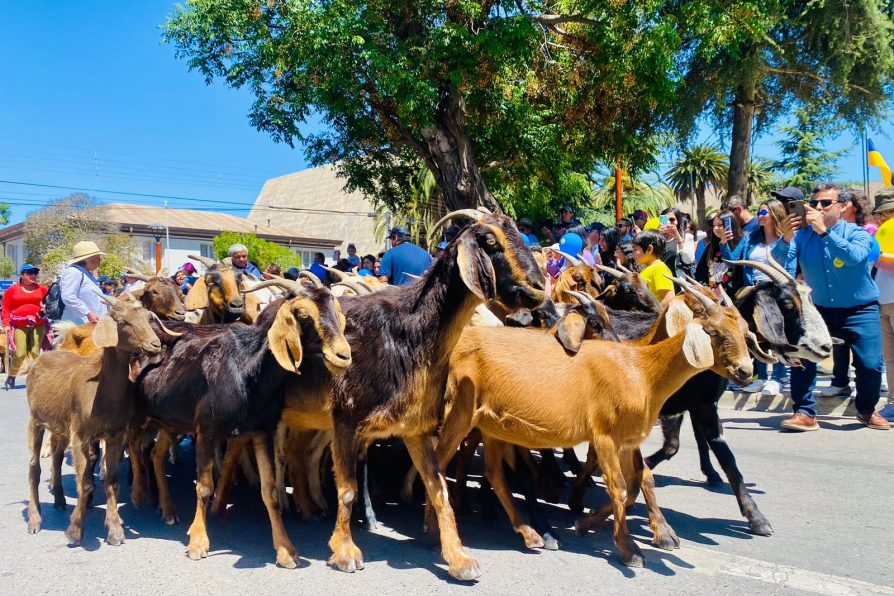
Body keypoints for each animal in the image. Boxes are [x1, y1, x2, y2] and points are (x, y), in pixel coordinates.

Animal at [25, 296, 177, 548]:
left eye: (149, 319)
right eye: (122, 321)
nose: (156, 344)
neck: (100, 391)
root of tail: (43, 356)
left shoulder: (115, 435)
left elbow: (112, 481)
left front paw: (115, 531)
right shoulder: (80, 434)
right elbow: (85, 482)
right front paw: (75, 530)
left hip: (59, 427)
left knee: (56, 458)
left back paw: (59, 499)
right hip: (35, 420)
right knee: (34, 467)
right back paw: (35, 520)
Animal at [135, 280, 352, 568]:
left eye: (336, 310)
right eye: (303, 314)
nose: (343, 355)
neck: (246, 371)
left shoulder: (261, 431)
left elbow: (269, 491)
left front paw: (285, 550)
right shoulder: (205, 430)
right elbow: (204, 487)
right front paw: (198, 542)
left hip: (168, 420)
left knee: (156, 455)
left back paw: (168, 509)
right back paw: (137, 499)